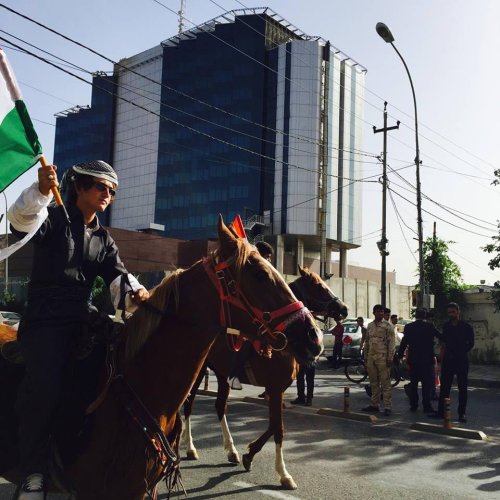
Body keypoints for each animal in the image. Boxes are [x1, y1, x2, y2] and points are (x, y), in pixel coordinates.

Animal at [184, 268, 348, 490]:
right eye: (319, 286)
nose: (344, 309)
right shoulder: (275, 387)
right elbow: (278, 428)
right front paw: (283, 474)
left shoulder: (275, 390)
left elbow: (272, 426)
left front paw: (249, 454)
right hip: (200, 370)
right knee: (189, 404)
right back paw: (189, 447)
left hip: (221, 374)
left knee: (219, 406)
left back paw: (231, 450)